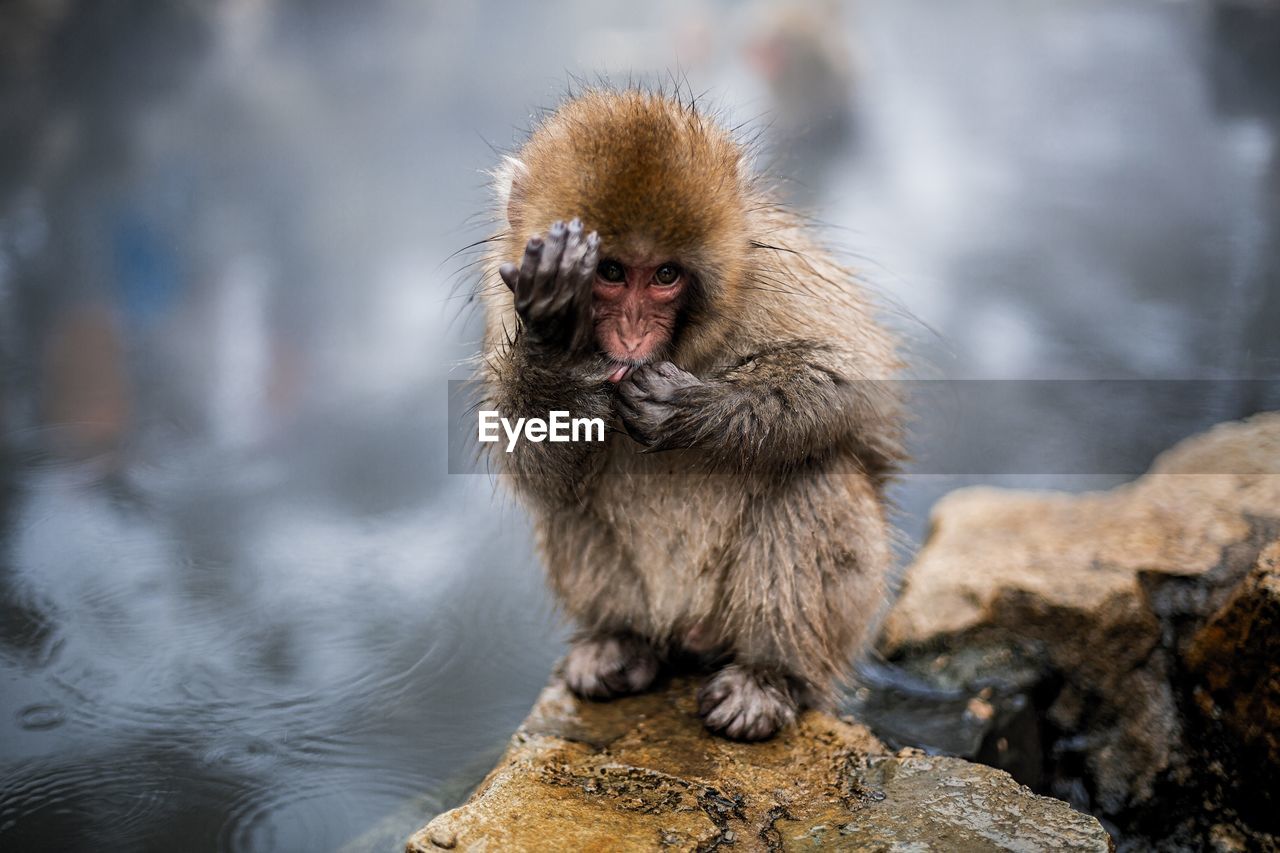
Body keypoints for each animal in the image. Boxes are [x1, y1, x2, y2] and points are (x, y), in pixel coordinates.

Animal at [476, 87, 906, 737]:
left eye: (665, 275)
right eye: (609, 272)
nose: (632, 336)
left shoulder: (776, 276)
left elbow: (849, 379)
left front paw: (687, 409)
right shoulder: (506, 299)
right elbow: (533, 461)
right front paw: (554, 340)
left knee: (817, 473)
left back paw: (770, 676)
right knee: (567, 505)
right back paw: (622, 642)